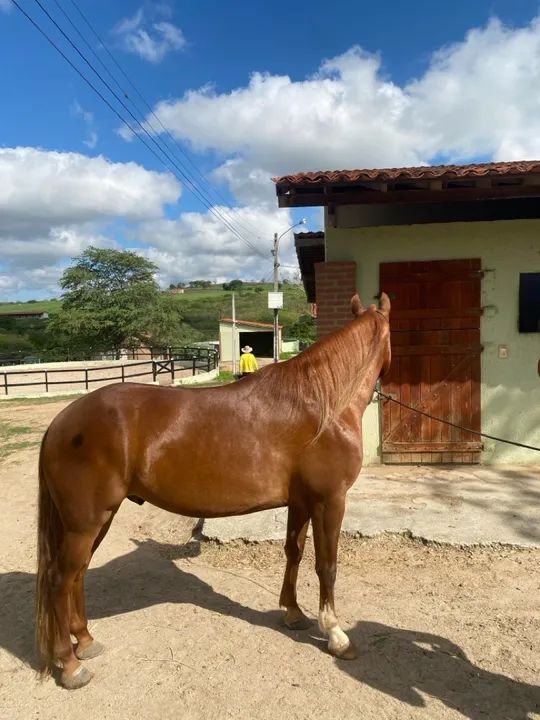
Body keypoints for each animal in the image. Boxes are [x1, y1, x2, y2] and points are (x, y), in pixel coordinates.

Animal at [36, 292, 391, 689]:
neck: (322, 407)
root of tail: (61, 422)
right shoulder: (329, 501)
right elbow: (326, 565)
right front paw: (336, 635)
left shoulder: (301, 503)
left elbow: (293, 553)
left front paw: (294, 613)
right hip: (85, 522)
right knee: (59, 579)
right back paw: (70, 666)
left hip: (96, 520)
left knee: (77, 574)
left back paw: (85, 641)